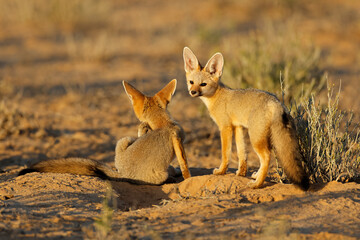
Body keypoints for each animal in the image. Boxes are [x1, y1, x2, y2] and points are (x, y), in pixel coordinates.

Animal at [17, 79, 191, 185]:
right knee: (168, 173)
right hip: (160, 174)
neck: (162, 124)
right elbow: (184, 165)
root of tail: (122, 174)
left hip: (123, 140)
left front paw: (143, 128)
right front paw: (187, 179)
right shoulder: (178, 139)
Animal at [183, 46, 310, 189]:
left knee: (266, 157)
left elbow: (225, 153)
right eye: (191, 82)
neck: (216, 96)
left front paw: (221, 171)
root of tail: (275, 101)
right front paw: (241, 173)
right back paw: (256, 176)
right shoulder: (238, 127)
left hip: (255, 138)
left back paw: (257, 184)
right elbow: (241, 152)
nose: (193, 92)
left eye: (203, 84)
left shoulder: (225, 127)